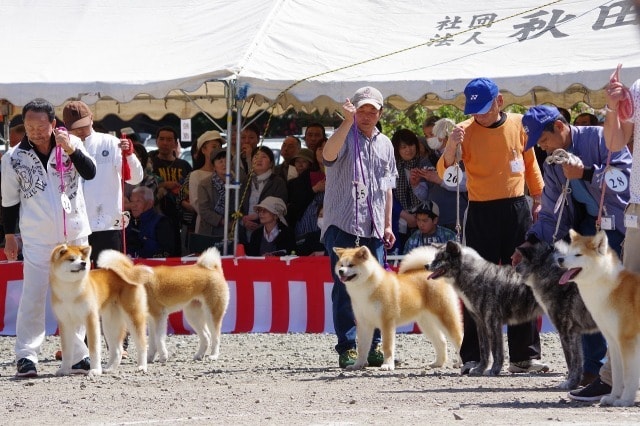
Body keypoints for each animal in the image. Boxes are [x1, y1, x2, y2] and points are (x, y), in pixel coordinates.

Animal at [49, 245, 151, 374]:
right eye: (71, 259)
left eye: (82, 258)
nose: (83, 263)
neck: (70, 291)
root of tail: (129, 270)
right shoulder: (65, 323)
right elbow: (66, 351)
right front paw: (64, 370)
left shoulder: (91, 319)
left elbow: (94, 349)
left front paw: (95, 370)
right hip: (110, 324)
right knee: (117, 349)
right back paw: (109, 368)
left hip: (133, 316)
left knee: (142, 344)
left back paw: (142, 366)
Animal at [332, 245, 462, 372]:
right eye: (341, 265)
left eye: (351, 265)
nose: (341, 271)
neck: (365, 289)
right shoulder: (364, 323)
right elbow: (362, 348)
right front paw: (357, 365)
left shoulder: (387, 322)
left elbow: (387, 346)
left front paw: (387, 365)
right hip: (426, 323)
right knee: (441, 341)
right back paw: (437, 364)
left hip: (445, 316)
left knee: (458, 339)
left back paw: (460, 363)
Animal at [556, 230, 640, 406]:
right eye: (567, 252)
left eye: (578, 254)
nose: (559, 259)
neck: (611, 288)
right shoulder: (614, 342)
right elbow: (617, 376)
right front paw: (613, 397)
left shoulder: (627, 340)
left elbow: (629, 376)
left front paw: (625, 400)